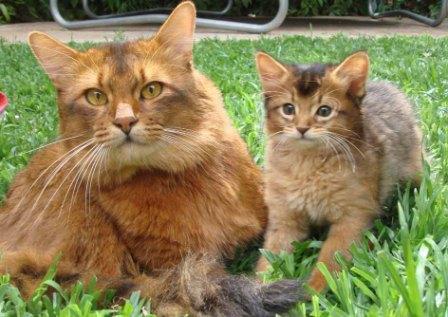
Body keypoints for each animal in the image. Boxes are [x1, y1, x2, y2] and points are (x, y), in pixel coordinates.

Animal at [254, 51, 422, 292]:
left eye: (324, 111)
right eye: (288, 109)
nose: (302, 128)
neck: (308, 166)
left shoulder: (353, 218)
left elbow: (328, 262)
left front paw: (311, 293)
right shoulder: (285, 218)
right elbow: (269, 260)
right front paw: (260, 289)